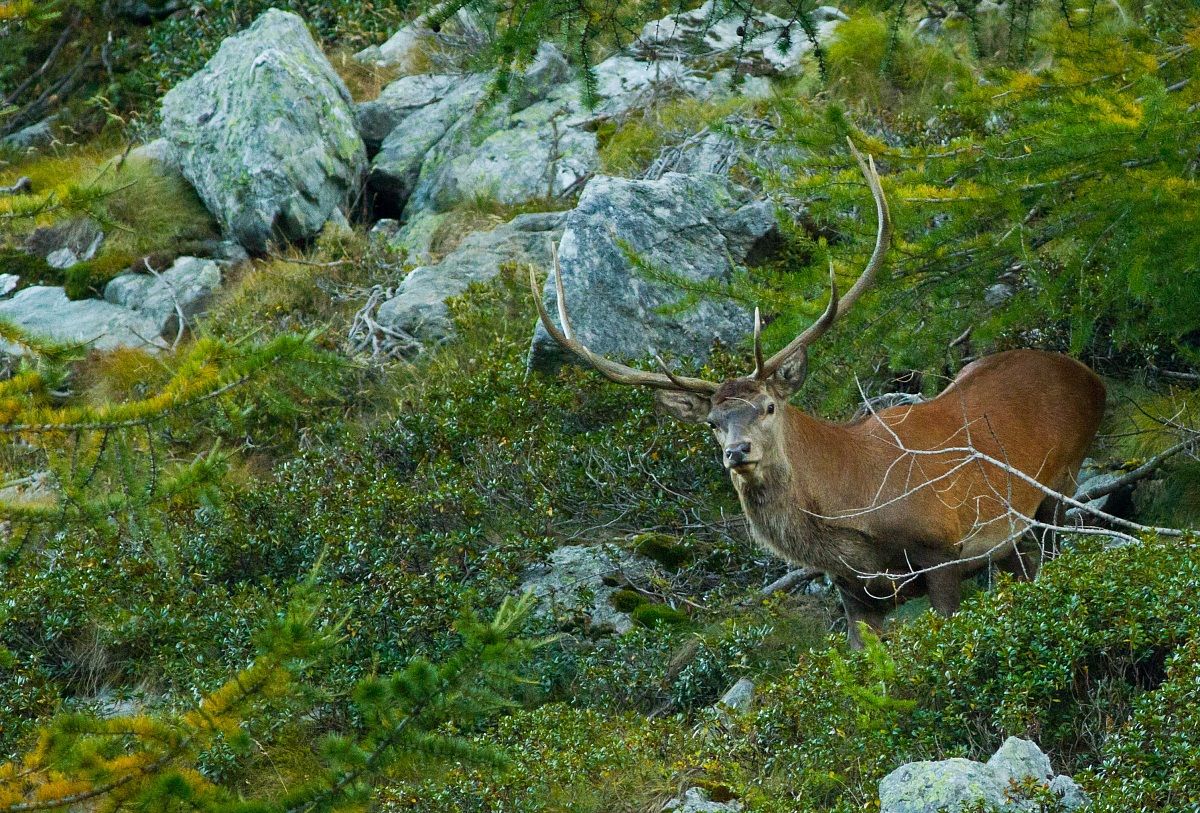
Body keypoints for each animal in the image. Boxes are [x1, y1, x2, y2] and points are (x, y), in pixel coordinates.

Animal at [529, 141, 1107, 648]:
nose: (737, 452)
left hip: (1060, 483)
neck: (853, 516)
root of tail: (1086, 374)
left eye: (768, 407)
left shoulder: (943, 548)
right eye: (713, 423)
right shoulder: (854, 592)